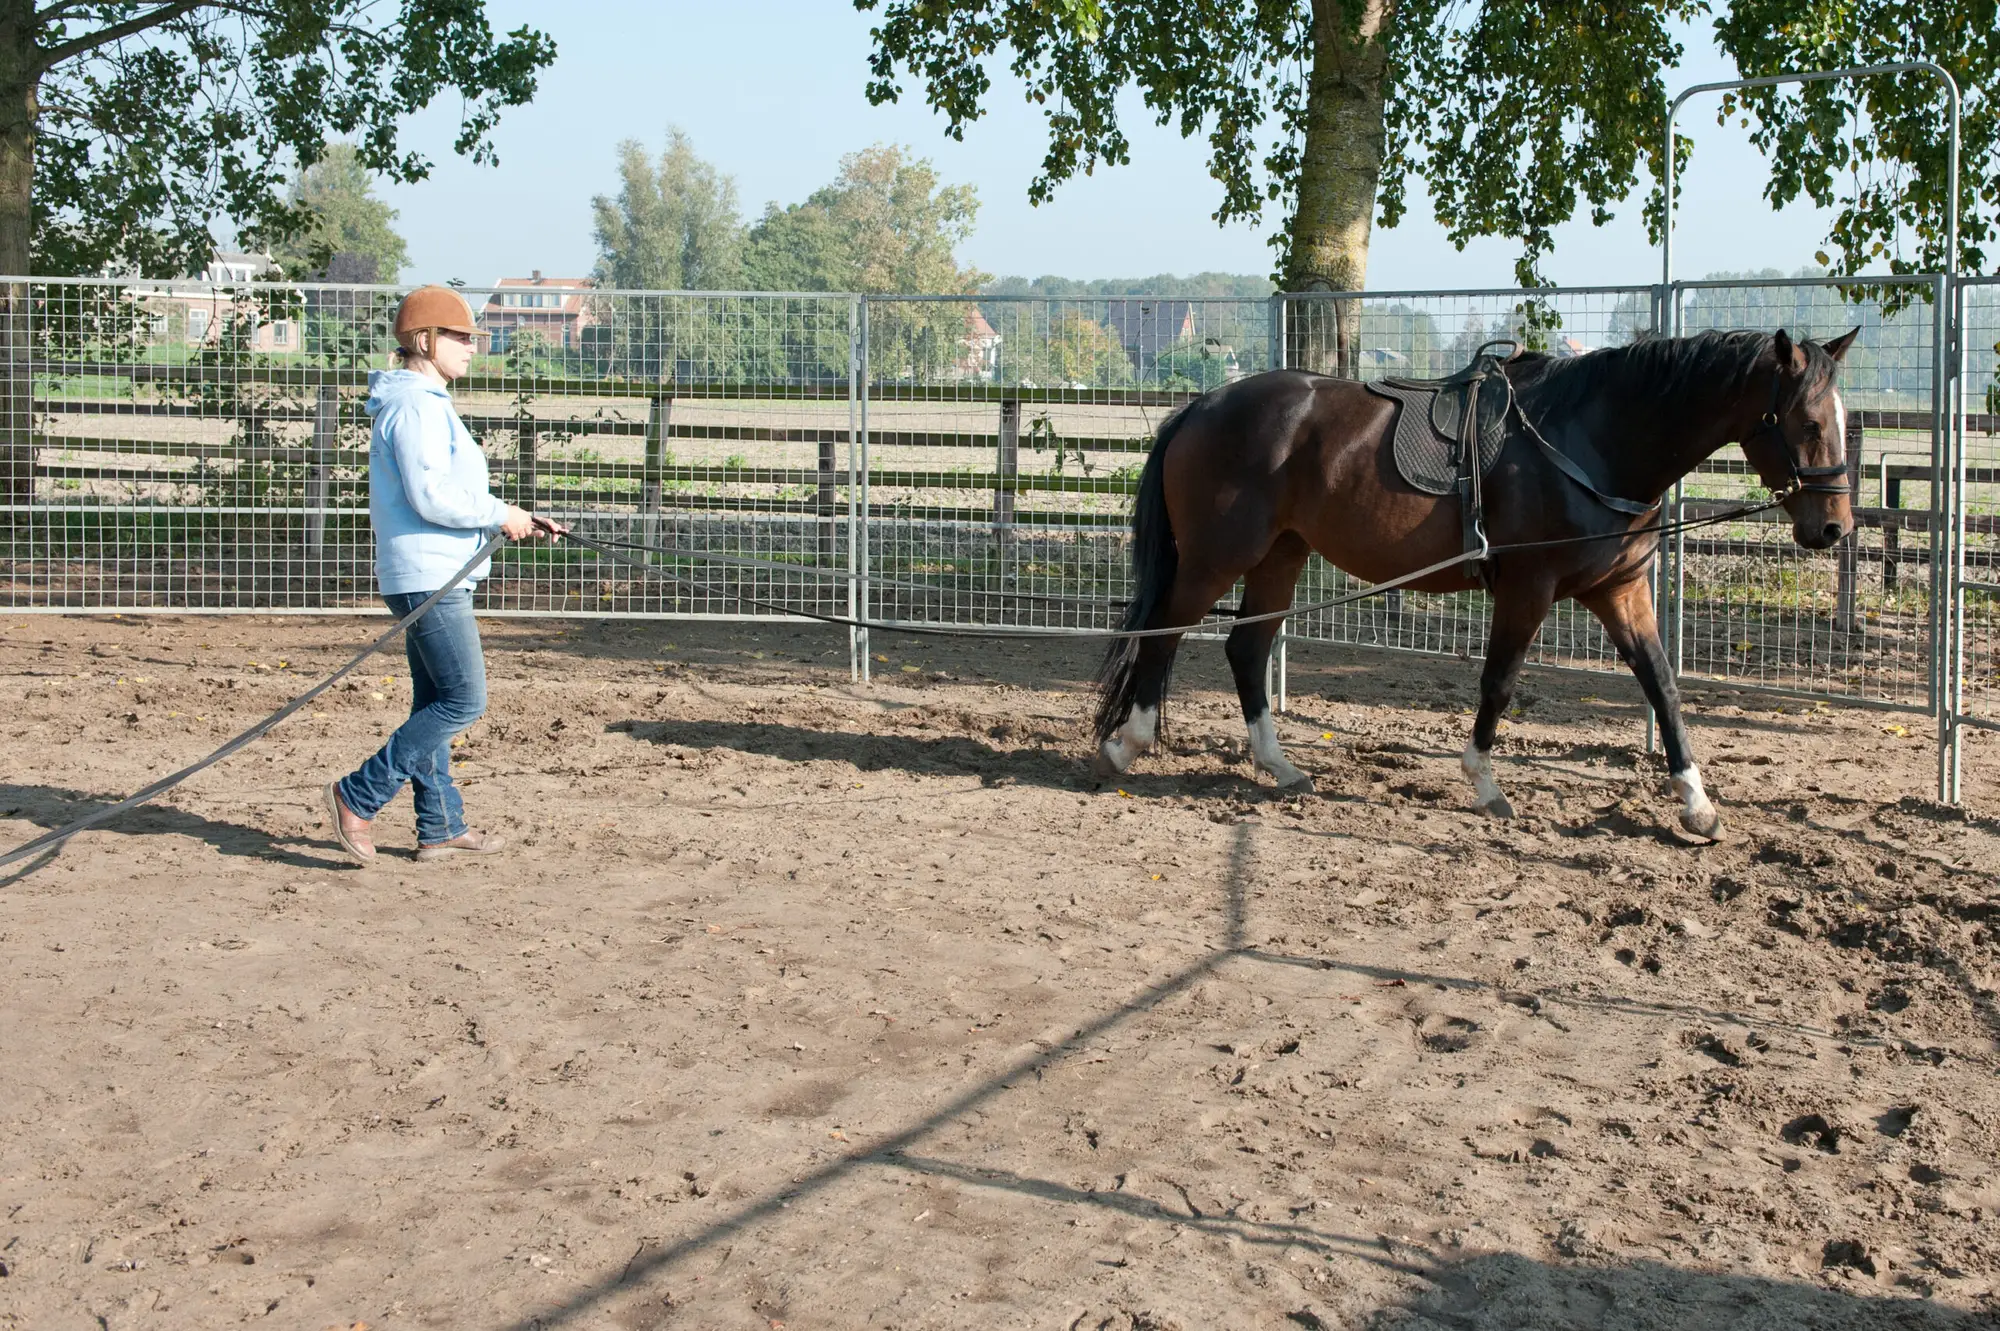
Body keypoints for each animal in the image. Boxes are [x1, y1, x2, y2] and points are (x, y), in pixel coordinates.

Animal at [1090, 327, 1859, 840]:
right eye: (1808, 421)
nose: (1834, 528)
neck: (1589, 441)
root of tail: (1202, 405)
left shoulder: (1622, 592)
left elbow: (1664, 686)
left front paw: (1696, 803)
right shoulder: (1527, 587)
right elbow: (1500, 682)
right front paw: (1485, 783)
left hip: (1281, 554)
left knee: (1246, 651)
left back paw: (1278, 766)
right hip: (1217, 557)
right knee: (1163, 634)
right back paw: (1128, 744)